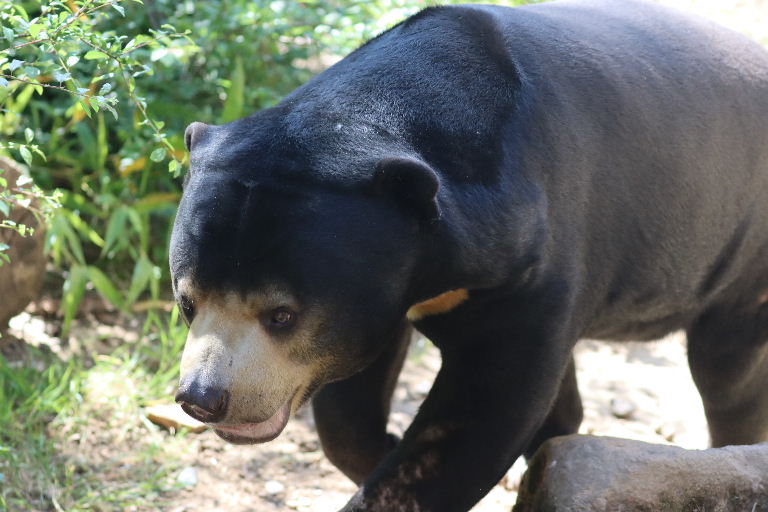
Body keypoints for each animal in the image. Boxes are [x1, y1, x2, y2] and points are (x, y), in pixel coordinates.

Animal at [170, 0, 768, 510]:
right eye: (188, 303)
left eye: (282, 315)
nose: (203, 399)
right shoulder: (386, 290)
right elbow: (347, 405)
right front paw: (381, 445)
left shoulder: (529, 264)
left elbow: (482, 411)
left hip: (743, 256)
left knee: (728, 379)